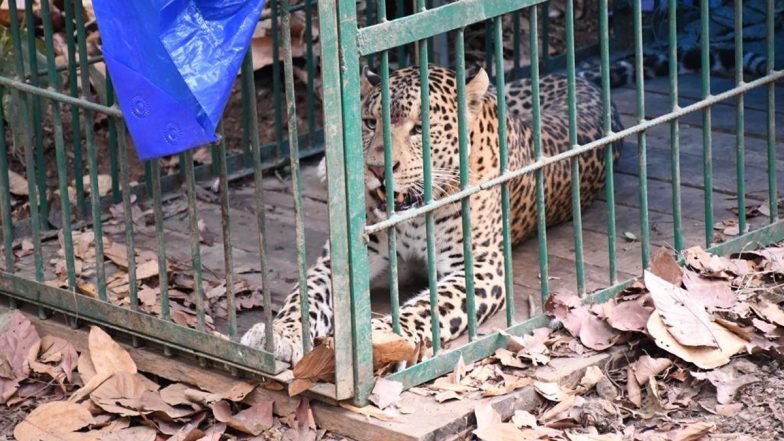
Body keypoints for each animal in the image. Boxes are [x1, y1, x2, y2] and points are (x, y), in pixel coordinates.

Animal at [242, 62, 620, 364]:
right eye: (369, 122)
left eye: (420, 129)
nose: (377, 168)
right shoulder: (342, 260)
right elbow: (306, 295)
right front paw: (280, 332)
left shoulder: (480, 268)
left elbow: (429, 306)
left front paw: (382, 336)